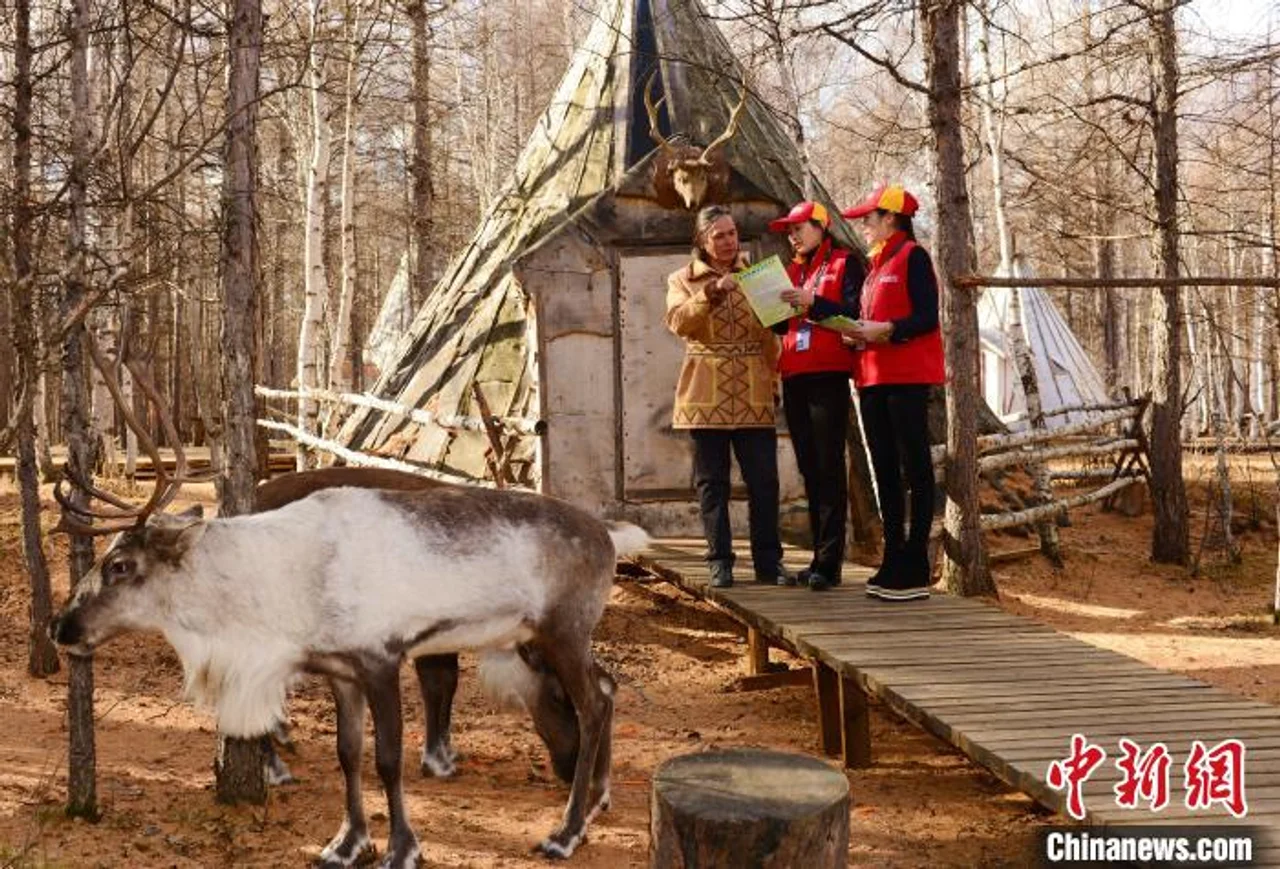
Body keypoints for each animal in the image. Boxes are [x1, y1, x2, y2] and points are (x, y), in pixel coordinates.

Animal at [49, 335, 647, 867]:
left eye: (120, 566)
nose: (62, 626)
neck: (272, 584)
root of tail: (609, 536)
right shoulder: (340, 671)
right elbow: (348, 754)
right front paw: (347, 843)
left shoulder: (380, 657)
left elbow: (388, 758)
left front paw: (403, 849)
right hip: (556, 636)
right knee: (608, 685)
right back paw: (596, 799)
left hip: (562, 629)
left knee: (594, 704)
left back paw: (565, 832)